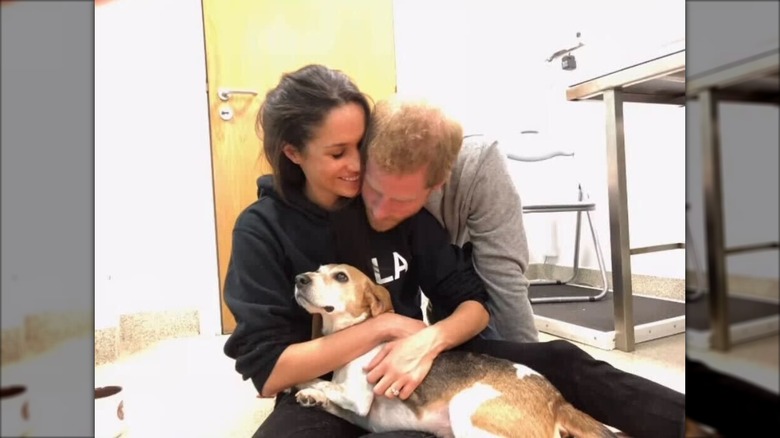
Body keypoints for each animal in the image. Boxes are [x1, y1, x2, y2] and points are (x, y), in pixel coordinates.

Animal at [290, 264, 616, 438]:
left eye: (341, 277)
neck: (353, 335)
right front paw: (313, 398)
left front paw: (300, 384)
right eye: (318, 270)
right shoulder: (363, 417)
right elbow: (330, 395)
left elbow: (323, 381)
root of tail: (557, 401)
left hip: (466, 411)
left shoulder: (358, 398)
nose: (299, 278)